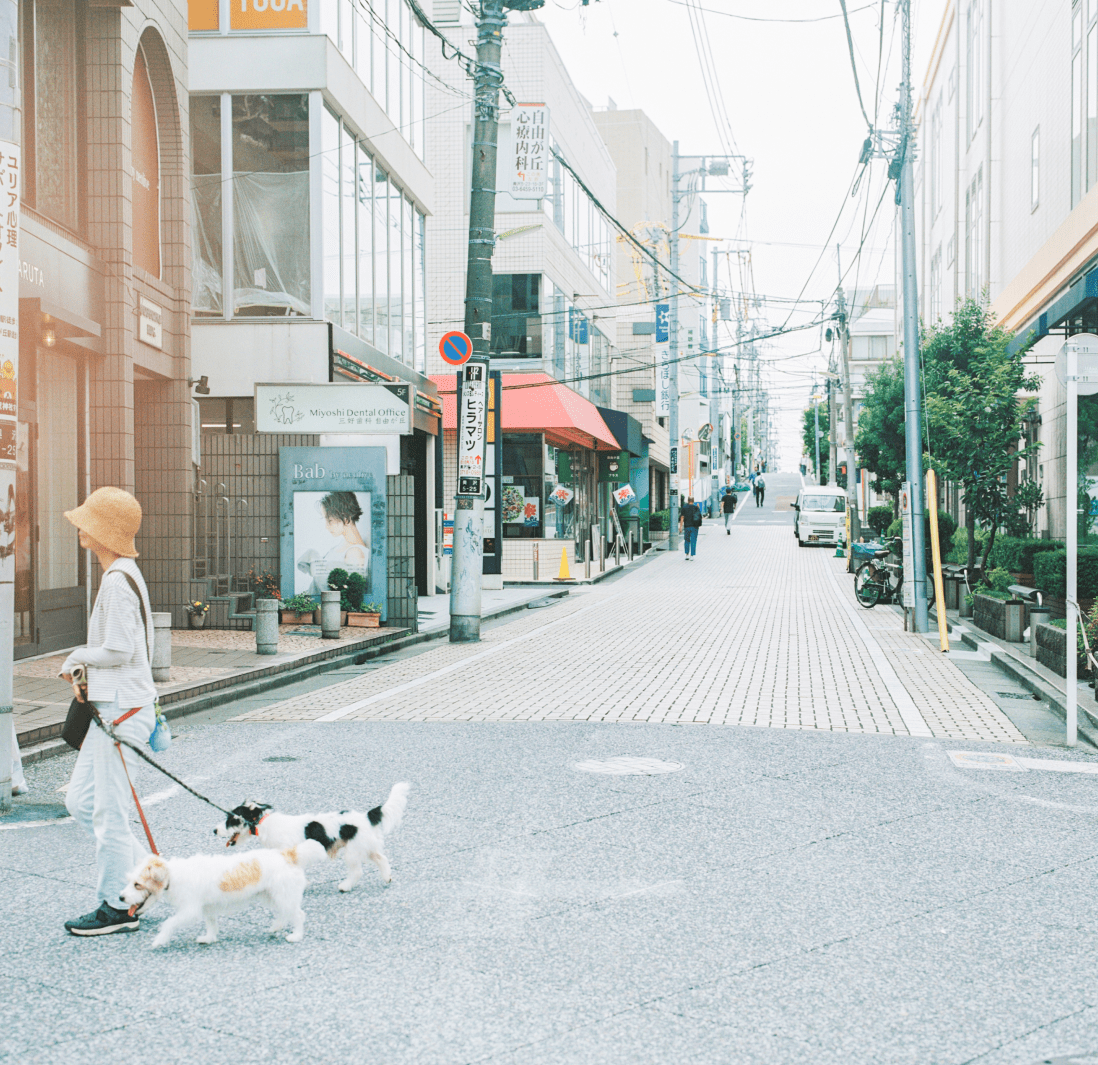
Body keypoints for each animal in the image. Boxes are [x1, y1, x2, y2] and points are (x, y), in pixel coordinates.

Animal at [122, 838, 325, 948]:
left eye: (137, 884)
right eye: (129, 880)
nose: (120, 897)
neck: (172, 875)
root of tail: (287, 854)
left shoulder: (190, 910)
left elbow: (169, 923)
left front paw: (160, 939)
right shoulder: (207, 909)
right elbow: (211, 924)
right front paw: (209, 938)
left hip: (283, 896)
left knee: (298, 915)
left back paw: (296, 935)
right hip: (272, 896)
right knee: (284, 914)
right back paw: (276, 927)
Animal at [213, 777, 408, 891]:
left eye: (231, 819)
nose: (214, 830)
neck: (265, 823)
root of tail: (365, 816)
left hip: (353, 851)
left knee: (357, 871)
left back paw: (345, 886)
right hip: (365, 847)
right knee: (382, 859)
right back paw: (387, 878)